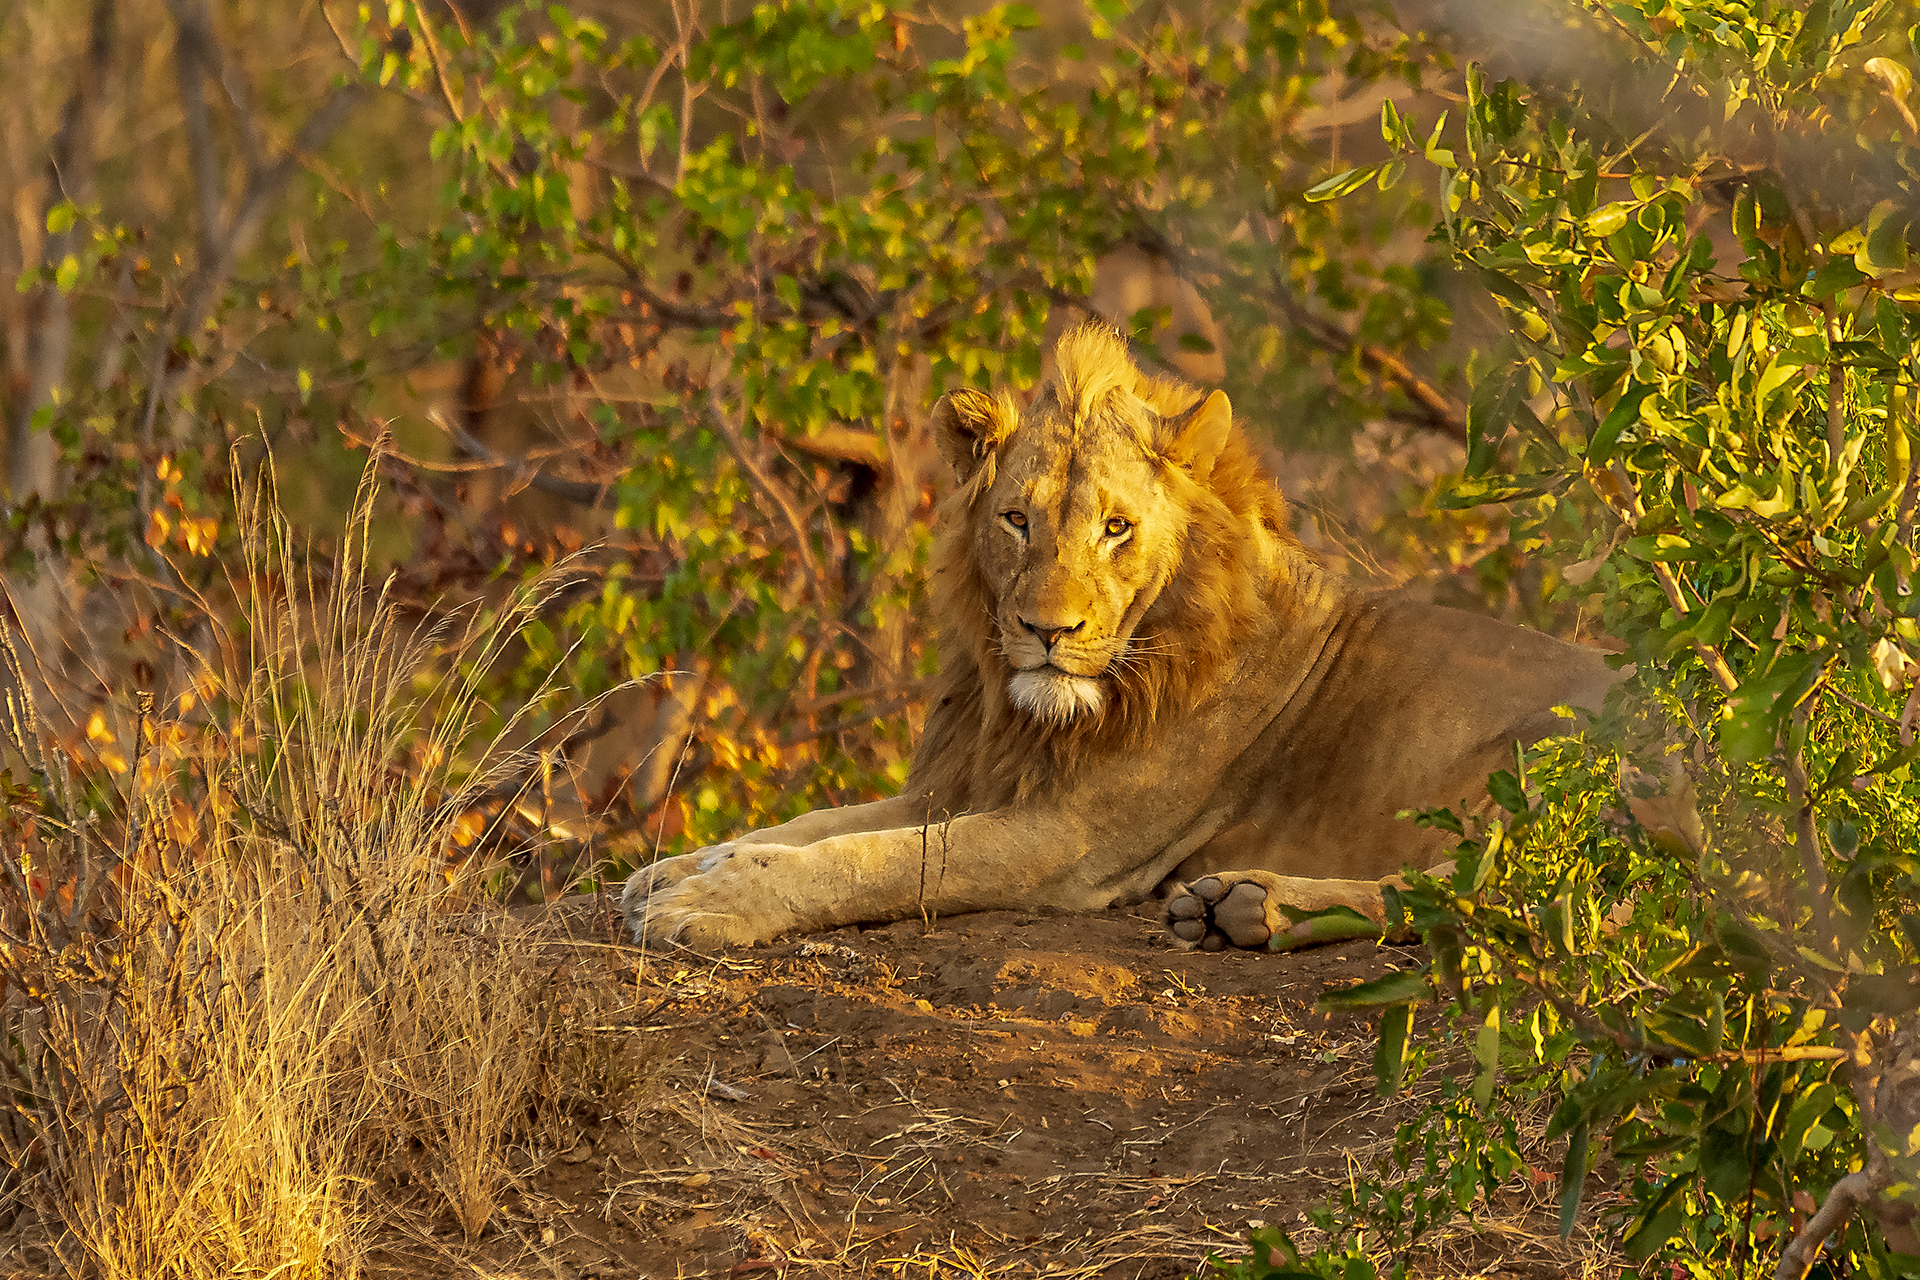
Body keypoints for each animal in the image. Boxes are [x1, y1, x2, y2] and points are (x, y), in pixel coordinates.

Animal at [622, 322, 1618, 952]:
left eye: (1116, 528)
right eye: (1017, 520)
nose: (1046, 631)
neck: (1031, 715)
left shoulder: (1069, 840)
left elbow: (876, 862)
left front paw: (713, 901)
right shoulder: (967, 782)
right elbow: (815, 825)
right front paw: (678, 868)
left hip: (1549, 757)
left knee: (1506, 899)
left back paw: (1244, 907)